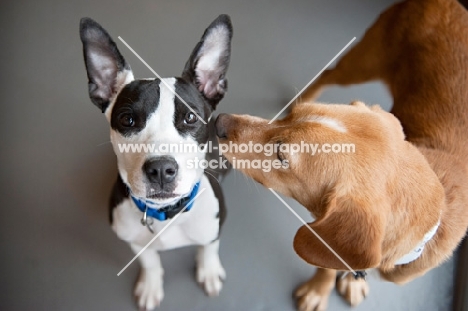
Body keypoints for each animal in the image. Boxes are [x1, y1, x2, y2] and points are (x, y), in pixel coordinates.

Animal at [81, 14, 234, 310]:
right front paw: (151, 285)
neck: (165, 215)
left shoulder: (214, 227)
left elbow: (209, 247)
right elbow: (149, 261)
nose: (161, 169)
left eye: (190, 118)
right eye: (127, 120)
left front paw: (208, 270)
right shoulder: (134, 241)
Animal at [215, 0, 468, 310]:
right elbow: (328, 264)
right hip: (362, 63)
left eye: (281, 156)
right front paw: (319, 289)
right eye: (291, 118)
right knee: (327, 73)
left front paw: (350, 280)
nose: (219, 121)